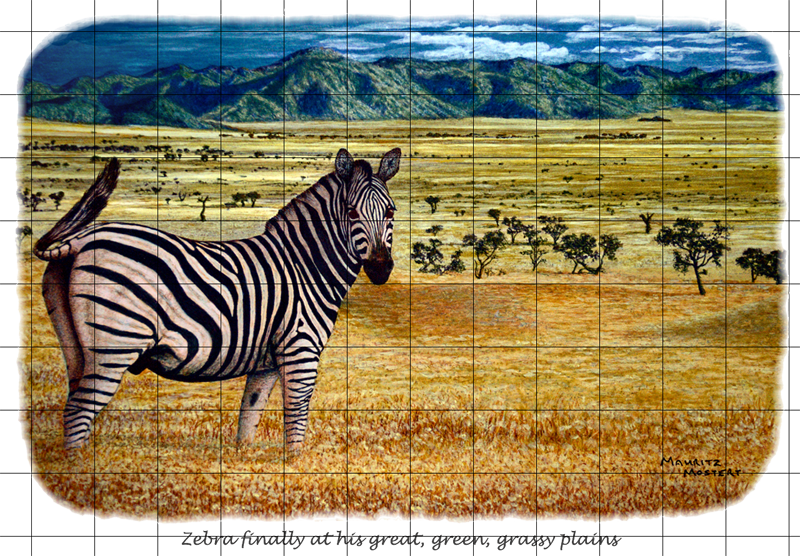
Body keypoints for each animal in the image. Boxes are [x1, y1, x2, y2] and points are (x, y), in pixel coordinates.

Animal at [34, 147, 401, 452]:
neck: (304, 264)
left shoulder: (266, 361)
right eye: (351, 212)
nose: (381, 268)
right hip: (116, 342)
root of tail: (83, 239)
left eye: (390, 212)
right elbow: (296, 415)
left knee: (72, 406)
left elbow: (248, 417)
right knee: (79, 411)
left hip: (76, 348)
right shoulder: (301, 348)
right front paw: (296, 464)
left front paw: (246, 466)